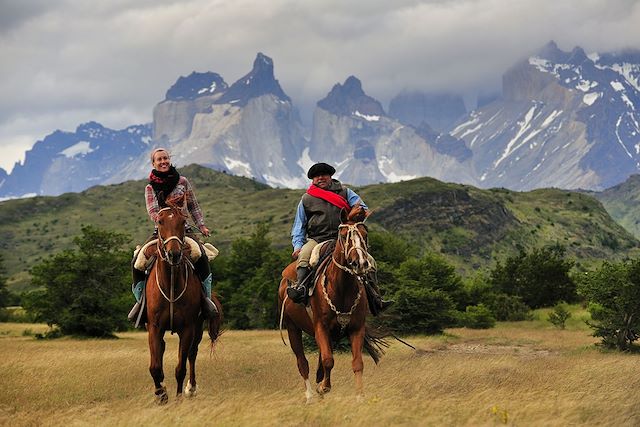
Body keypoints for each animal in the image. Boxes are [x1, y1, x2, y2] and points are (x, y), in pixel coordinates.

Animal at [145, 202, 222, 406]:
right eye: (160, 221)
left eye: (182, 221)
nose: (174, 254)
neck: (171, 283)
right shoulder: (154, 327)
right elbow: (155, 366)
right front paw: (161, 394)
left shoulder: (187, 328)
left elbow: (181, 367)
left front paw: (178, 397)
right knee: (163, 350)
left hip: (198, 327)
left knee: (192, 354)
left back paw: (191, 388)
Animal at [276, 206, 384, 402]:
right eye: (343, 235)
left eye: (365, 234)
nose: (360, 263)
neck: (342, 287)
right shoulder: (321, 326)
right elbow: (328, 360)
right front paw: (323, 387)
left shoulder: (356, 328)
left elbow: (357, 363)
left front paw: (360, 395)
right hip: (292, 327)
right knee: (302, 362)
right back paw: (310, 394)